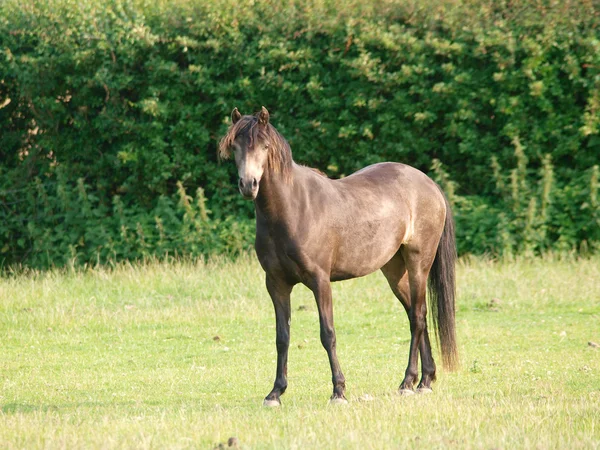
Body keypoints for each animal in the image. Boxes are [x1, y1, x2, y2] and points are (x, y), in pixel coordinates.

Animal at [220, 107, 460, 406]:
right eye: (236, 147)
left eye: (264, 146)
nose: (248, 184)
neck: (292, 209)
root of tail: (430, 184)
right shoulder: (276, 284)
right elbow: (282, 337)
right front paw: (275, 392)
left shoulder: (320, 281)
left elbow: (328, 334)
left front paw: (339, 390)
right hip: (395, 270)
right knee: (418, 316)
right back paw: (425, 380)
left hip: (419, 263)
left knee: (417, 316)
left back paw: (408, 382)